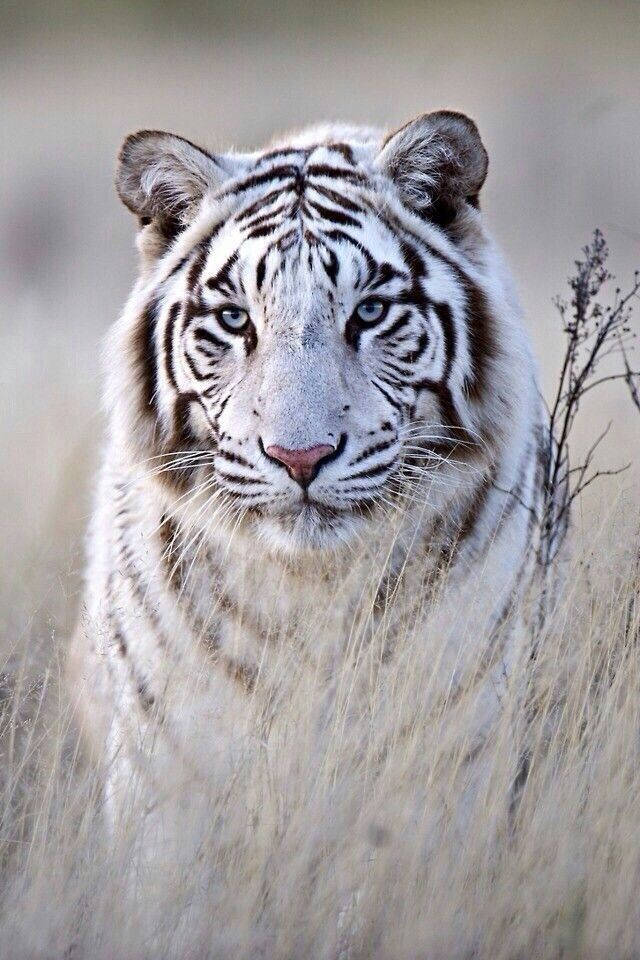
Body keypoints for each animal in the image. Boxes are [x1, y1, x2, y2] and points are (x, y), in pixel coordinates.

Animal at [69, 111, 550, 860]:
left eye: (371, 312)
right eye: (235, 319)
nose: (301, 457)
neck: (313, 593)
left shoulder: (453, 761)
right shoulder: (170, 780)